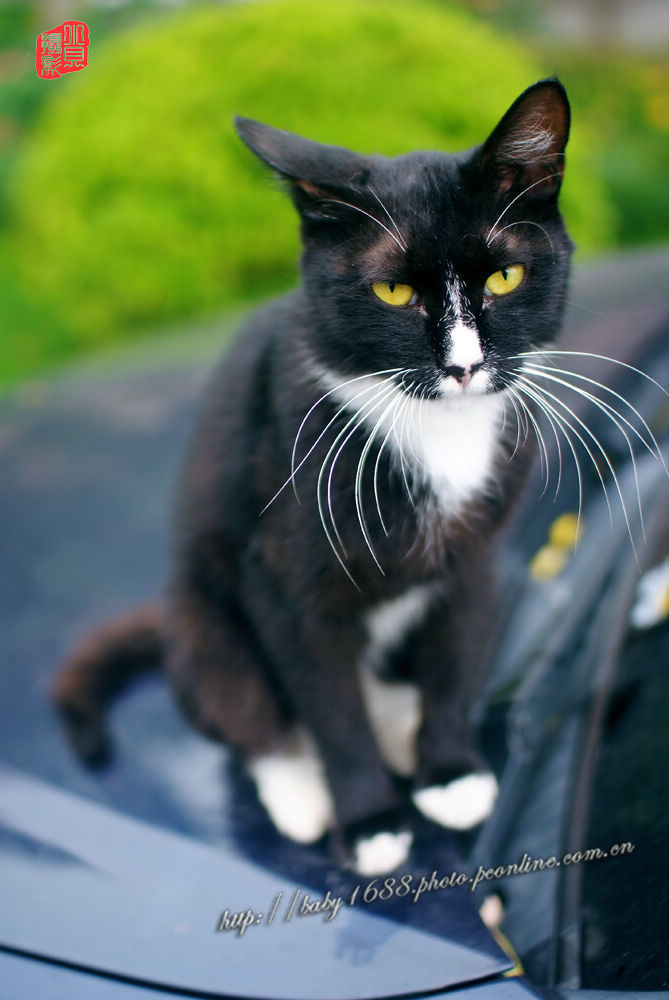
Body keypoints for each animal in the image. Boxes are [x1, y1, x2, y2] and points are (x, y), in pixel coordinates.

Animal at [53, 78, 576, 876]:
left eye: (506, 276)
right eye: (393, 292)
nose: (463, 367)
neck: (437, 430)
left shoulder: (475, 556)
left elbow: (456, 652)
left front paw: (449, 772)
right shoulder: (282, 575)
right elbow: (327, 706)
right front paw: (369, 824)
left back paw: (399, 722)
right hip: (203, 618)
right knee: (243, 705)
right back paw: (299, 789)